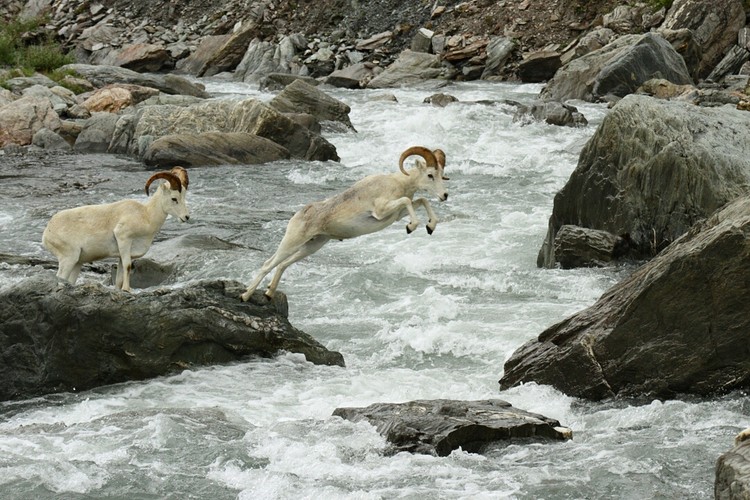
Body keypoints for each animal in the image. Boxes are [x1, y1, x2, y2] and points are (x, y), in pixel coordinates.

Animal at [42, 167, 190, 292]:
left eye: (184, 197)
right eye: (174, 198)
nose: (186, 217)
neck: (146, 216)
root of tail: (47, 232)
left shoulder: (121, 255)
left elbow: (119, 276)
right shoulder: (123, 239)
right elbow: (128, 266)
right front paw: (127, 290)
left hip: (77, 263)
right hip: (69, 258)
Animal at [241, 146, 448, 301]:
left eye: (441, 174)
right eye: (430, 175)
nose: (445, 195)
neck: (399, 183)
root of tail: (298, 215)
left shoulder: (396, 214)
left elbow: (422, 200)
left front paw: (430, 227)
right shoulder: (381, 211)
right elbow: (409, 200)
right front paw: (411, 227)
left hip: (312, 246)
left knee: (282, 265)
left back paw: (269, 293)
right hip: (291, 243)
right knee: (268, 264)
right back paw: (245, 296)